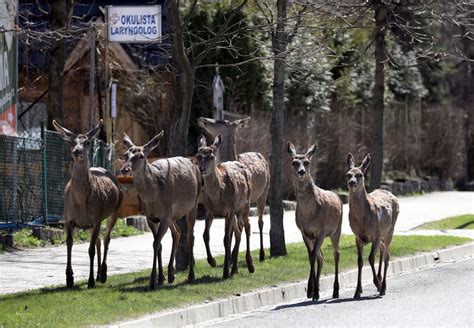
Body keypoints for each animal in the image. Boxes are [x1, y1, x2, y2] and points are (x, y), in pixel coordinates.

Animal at [52, 119, 123, 288]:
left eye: (88, 142)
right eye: (71, 142)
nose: (76, 151)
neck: (81, 204)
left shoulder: (96, 217)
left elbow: (90, 250)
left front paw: (90, 281)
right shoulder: (68, 218)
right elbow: (69, 244)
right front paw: (69, 278)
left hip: (115, 210)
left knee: (106, 239)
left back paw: (102, 274)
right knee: (98, 241)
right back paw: (98, 275)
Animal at [121, 132, 201, 288]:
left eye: (141, 156)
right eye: (125, 154)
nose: (125, 169)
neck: (152, 197)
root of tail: (192, 162)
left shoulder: (164, 215)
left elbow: (156, 243)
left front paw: (152, 281)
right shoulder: (151, 217)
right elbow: (158, 244)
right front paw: (160, 278)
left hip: (193, 203)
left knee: (191, 236)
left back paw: (191, 276)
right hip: (172, 214)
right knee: (177, 232)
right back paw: (171, 274)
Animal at [194, 135, 254, 278]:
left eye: (211, 156)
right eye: (198, 155)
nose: (202, 169)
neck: (217, 198)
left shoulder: (229, 211)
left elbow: (226, 239)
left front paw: (225, 272)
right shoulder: (209, 211)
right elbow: (205, 235)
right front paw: (212, 261)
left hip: (246, 204)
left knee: (247, 227)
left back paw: (250, 265)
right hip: (237, 211)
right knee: (239, 231)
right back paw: (235, 269)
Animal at [197, 116, 270, 262]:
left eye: (220, 121)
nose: (201, 118)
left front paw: (231, 258)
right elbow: (232, 231)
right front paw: (230, 257)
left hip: (264, 192)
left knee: (259, 221)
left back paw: (261, 254)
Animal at [286, 142, 342, 302]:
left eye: (307, 162)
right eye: (294, 162)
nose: (301, 172)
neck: (309, 214)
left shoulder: (321, 230)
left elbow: (312, 256)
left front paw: (313, 291)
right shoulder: (304, 232)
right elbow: (311, 256)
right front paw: (311, 291)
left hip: (336, 230)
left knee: (336, 254)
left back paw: (335, 291)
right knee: (321, 257)